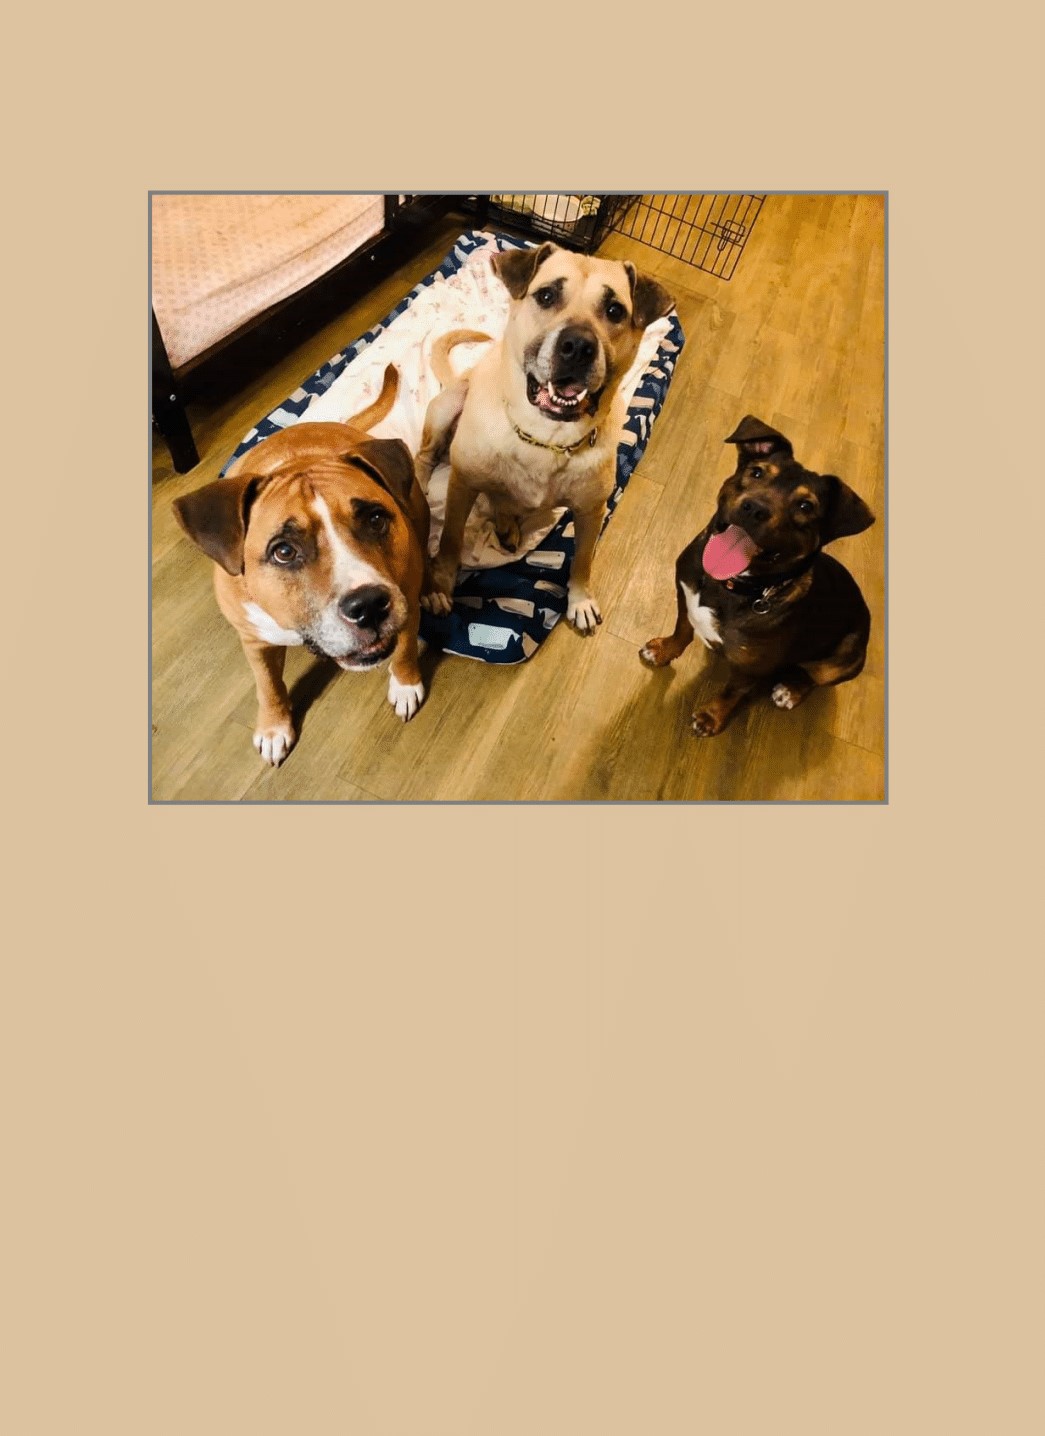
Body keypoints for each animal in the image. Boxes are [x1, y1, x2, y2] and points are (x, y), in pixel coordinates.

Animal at [172, 366, 430, 766]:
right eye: (283, 552)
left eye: (375, 519)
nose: (369, 605)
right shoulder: (254, 640)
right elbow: (268, 685)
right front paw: (273, 726)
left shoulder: (406, 599)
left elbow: (402, 648)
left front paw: (404, 685)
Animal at [418, 242, 674, 631]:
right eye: (547, 295)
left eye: (614, 310)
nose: (578, 346)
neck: (547, 437)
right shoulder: (462, 486)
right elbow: (450, 540)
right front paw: (439, 586)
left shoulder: (591, 510)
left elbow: (583, 559)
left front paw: (580, 600)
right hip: (449, 406)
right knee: (426, 456)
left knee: (501, 503)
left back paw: (507, 526)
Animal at [640, 415, 875, 736]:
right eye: (757, 472)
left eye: (806, 506)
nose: (754, 509)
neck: (729, 586)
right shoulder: (683, 598)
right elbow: (682, 630)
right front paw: (664, 651)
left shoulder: (752, 668)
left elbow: (732, 692)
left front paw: (711, 717)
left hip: (847, 660)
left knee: (814, 675)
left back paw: (791, 691)